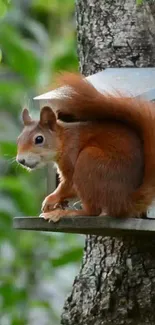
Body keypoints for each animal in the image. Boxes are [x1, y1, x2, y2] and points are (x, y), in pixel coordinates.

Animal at [16, 72, 155, 221]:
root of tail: (126, 203)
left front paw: (50, 200)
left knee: (92, 211)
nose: (20, 160)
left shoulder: (71, 156)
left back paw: (67, 213)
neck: (64, 139)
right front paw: (57, 203)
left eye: (39, 139)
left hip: (88, 161)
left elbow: (68, 185)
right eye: (18, 139)